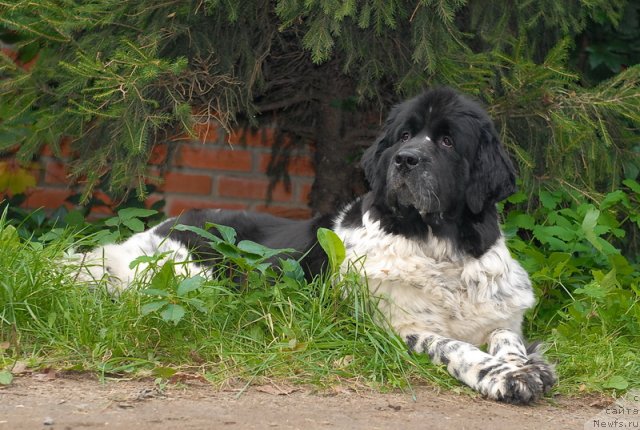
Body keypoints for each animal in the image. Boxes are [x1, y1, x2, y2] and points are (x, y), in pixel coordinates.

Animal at [75, 86, 556, 404]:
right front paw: (500, 376)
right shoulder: (394, 325)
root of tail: (150, 232)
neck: (439, 247)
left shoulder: (502, 315)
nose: (405, 160)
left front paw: (525, 367)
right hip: (197, 278)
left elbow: (506, 338)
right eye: (404, 136)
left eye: (448, 140)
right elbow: (453, 346)